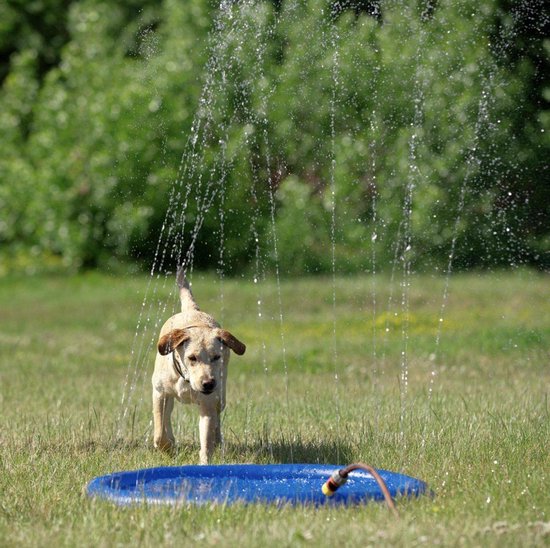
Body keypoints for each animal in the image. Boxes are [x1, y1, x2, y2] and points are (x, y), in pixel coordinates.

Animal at [151, 268, 246, 462]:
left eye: (216, 357)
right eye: (192, 358)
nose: (208, 383)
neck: (186, 380)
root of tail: (192, 310)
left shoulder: (208, 403)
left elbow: (207, 438)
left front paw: (205, 462)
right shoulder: (159, 392)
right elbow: (160, 429)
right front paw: (167, 448)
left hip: (221, 395)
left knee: (217, 419)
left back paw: (218, 440)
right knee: (167, 417)